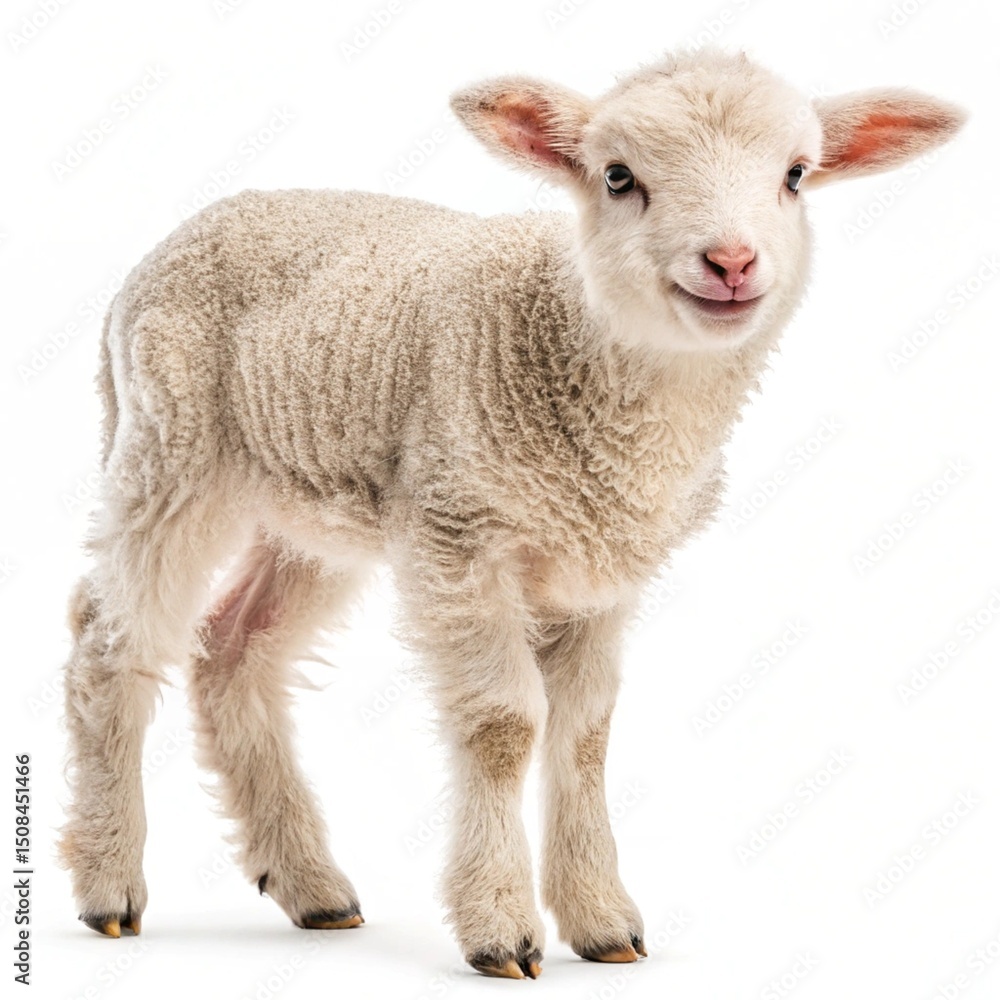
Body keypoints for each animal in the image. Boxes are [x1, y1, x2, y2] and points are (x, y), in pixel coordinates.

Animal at [58, 47, 965, 979]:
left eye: (795, 175)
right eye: (618, 176)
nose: (732, 261)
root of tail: (180, 236)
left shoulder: (602, 568)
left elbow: (586, 734)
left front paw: (601, 919)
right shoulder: (458, 535)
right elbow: (503, 727)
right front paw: (500, 924)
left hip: (314, 504)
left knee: (234, 648)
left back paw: (311, 885)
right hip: (173, 447)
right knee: (107, 639)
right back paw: (108, 881)